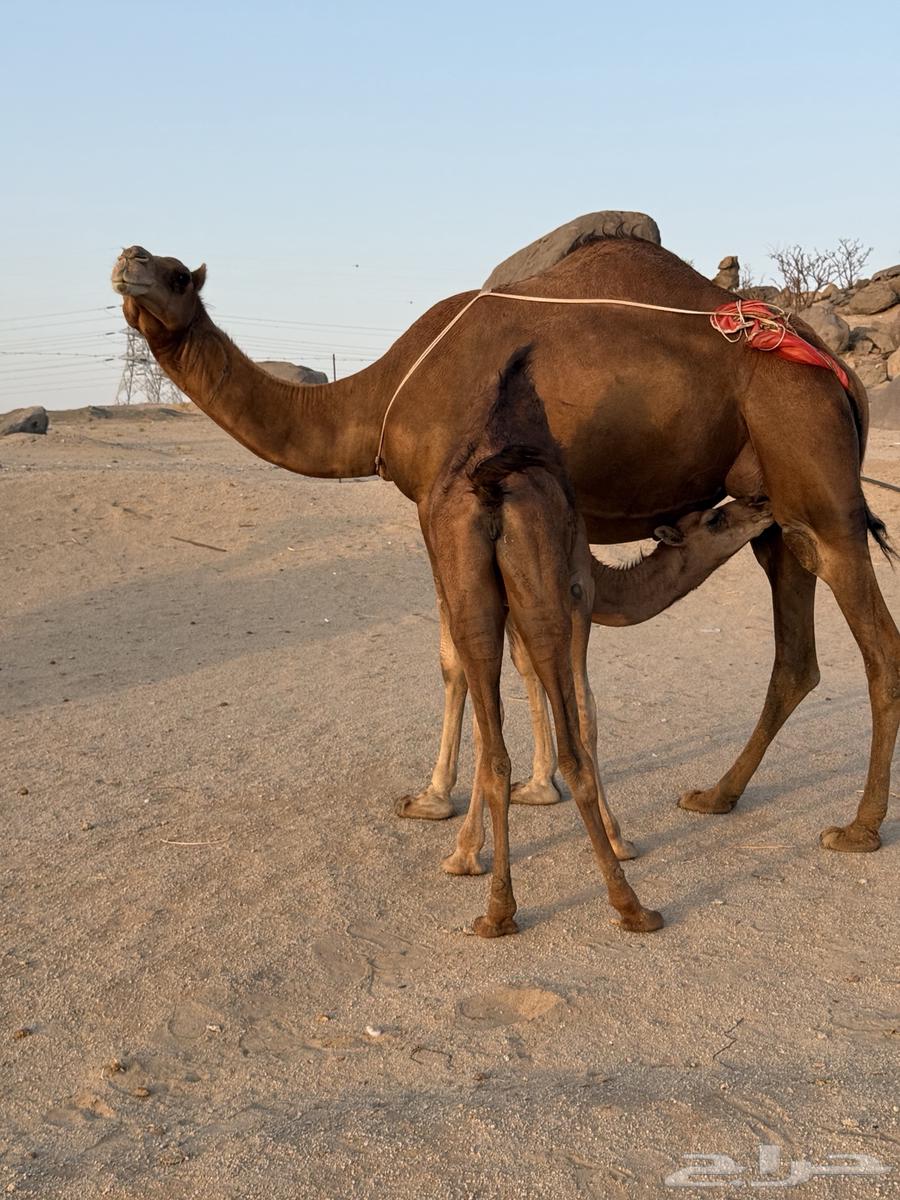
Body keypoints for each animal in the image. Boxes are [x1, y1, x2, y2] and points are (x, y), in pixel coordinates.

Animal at [112, 234, 899, 930]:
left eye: (176, 273)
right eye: (149, 259)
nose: (128, 259)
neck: (382, 396)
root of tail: (844, 378)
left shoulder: (444, 505)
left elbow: (462, 662)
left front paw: (447, 814)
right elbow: (512, 662)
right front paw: (528, 794)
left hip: (820, 483)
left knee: (879, 647)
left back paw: (858, 828)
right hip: (779, 513)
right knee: (794, 655)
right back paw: (716, 796)